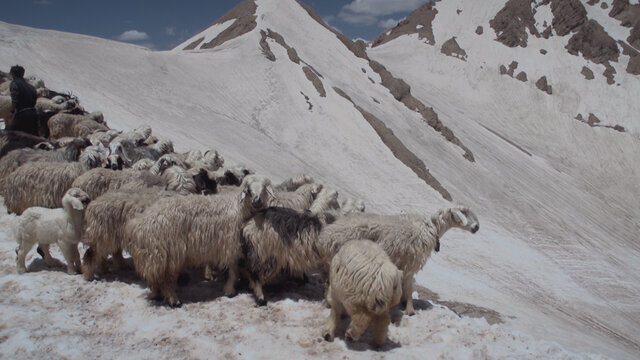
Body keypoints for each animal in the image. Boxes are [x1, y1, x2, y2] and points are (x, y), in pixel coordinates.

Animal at [124, 174, 276, 306]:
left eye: (263, 188)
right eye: (248, 189)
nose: (257, 201)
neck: (238, 209)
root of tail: (137, 225)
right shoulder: (230, 245)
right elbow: (233, 271)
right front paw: (230, 290)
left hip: (156, 256)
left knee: (155, 278)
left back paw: (157, 295)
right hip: (169, 254)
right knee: (165, 279)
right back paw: (174, 300)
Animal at [320, 205, 480, 316]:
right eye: (464, 213)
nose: (477, 227)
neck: (431, 229)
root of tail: (326, 237)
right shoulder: (410, 265)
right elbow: (409, 289)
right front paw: (410, 311)